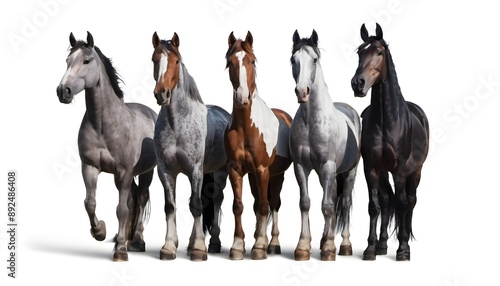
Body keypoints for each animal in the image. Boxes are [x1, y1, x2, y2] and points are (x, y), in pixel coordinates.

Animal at [55, 31, 157, 262]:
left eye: (86, 60)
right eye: (67, 61)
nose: (63, 91)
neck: (104, 125)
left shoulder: (124, 172)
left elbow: (122, 209)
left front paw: (120, 250)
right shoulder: (90, 167)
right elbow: (90, 202)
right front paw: (100, 231)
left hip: (146, 172)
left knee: (142, 198)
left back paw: (136, 241)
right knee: (133, 199)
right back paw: (125, 239)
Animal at [150, 31, 230, 262]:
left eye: (176, 61)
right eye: (154, 59)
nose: (162, 94)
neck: (177, 124)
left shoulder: (195, 170)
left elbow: (196, 205)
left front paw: (199, 249)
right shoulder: (166, 171)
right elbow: (171, 207)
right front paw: (169, 247)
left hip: (221, 171)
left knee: (216, 200)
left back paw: (213, 243)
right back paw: (191, 242)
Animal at [224, 31, 292, 262]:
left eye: (252, 61)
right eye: (230, 62)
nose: (242, 98)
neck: (246, 128)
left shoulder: (263, 170)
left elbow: (264, 206)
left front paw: (260, 246)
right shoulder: (236, 170)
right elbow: (238, 206)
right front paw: (237, 245)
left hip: (276, 175)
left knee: (274, 204)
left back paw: (273, 244)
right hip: (254, 176)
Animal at [290, 30, 364, 262]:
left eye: (314, 59)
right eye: (293, 60)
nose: (302, 92)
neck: (311, 122)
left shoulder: (328, 166)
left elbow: (328, 206)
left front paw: (330, 248)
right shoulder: (301, 166)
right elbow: (306, 203)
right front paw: (303, 246)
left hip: (348, 172)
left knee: (344, 203)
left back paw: (343, 245)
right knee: (330, 198)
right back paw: (324, 240)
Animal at [352, 24, 430, 262]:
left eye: (379, 52)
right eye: (359, 52)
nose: (357, 83)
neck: (387, 121)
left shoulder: (401, 170)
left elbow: (403, 204)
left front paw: (403, 249)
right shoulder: (371, 168)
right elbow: (375, 205)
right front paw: (370, 248)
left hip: (416, 171)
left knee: (410, 201)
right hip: (384, 172)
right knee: (387, 201)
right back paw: (382, 244)